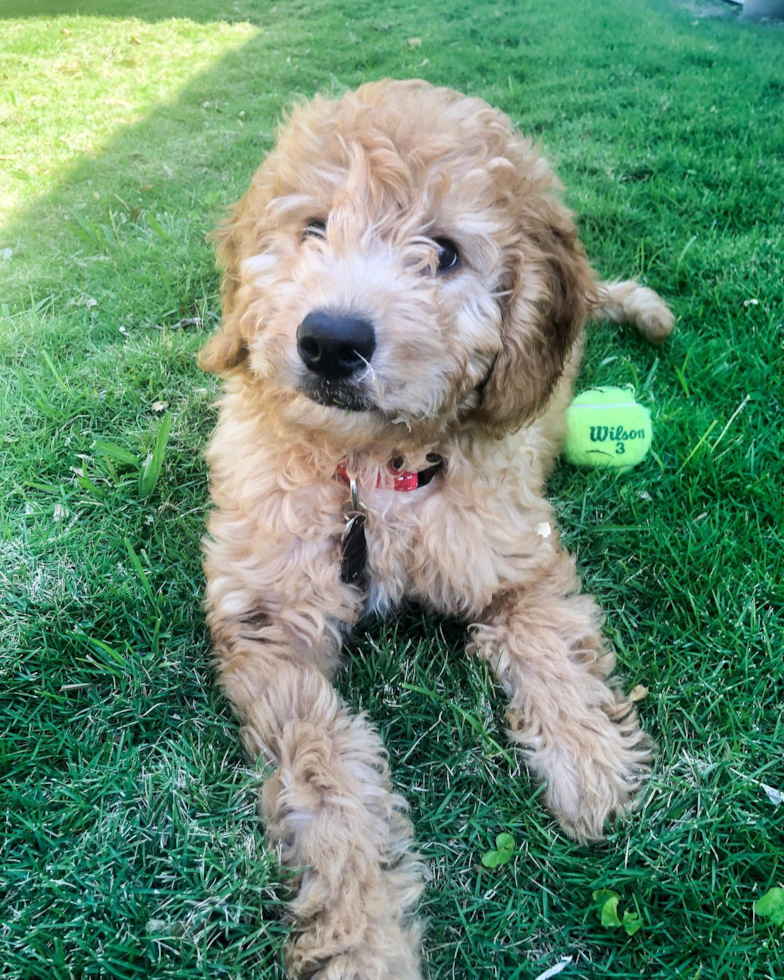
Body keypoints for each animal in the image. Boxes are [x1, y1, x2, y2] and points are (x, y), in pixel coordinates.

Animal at [198, 80, 672, 976]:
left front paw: (588, 764)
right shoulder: (270, 627)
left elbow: (550, 643)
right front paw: (362, 937)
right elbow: (326, 769)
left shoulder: (517, 559)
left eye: (445, 252)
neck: (370, 471)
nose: (331, 340)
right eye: (313, 226)